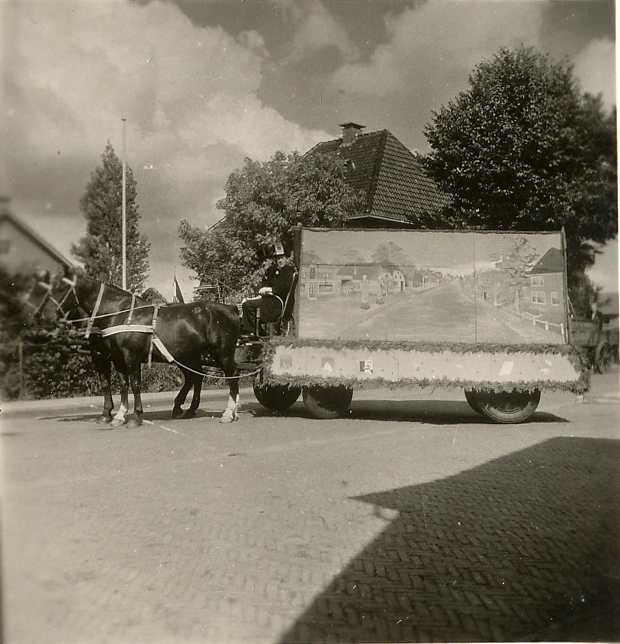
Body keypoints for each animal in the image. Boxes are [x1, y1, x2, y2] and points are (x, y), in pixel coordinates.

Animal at [34, 272, 242, 428]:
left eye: (61, 287)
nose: (41, 315)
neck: (119, 314)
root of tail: (231, 308)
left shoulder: (129, 357)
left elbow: (134, 384)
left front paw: (134, 416)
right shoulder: (115, 358)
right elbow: (120, 385)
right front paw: (116, 415)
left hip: (223, 353)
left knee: (232, 376)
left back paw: (228, 412)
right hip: (188, 356)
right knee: (196, 377)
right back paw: (190, 410)